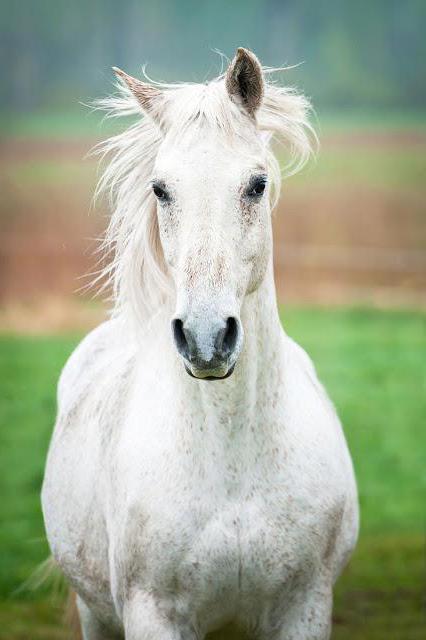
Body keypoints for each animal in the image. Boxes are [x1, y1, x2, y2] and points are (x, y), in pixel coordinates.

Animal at [42, 47, 360, 636]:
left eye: (257, 183)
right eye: (160, 189)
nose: (206, 337)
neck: (232, 466)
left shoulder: (304, 607)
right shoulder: (154, 615)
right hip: (95, 613)